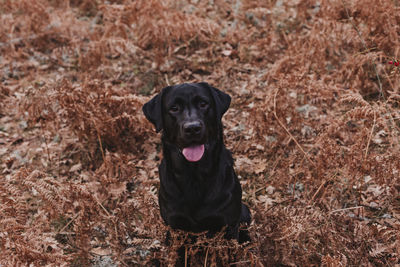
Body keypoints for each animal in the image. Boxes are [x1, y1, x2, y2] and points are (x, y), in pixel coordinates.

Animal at [143, 82, 250, 244]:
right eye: (174, 108)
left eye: (203, 104)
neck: (194, 175)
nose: (192, 128)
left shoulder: (229, 224)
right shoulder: (174, 224)